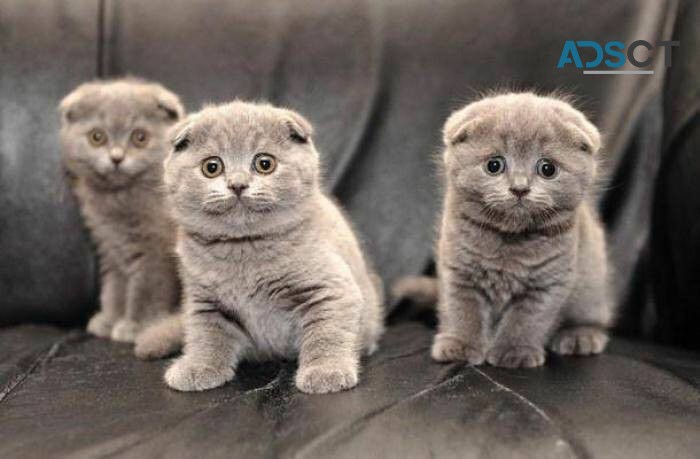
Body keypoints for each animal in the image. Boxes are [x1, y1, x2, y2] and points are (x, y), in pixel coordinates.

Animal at [59, 79, 185, 344]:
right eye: (97, 137)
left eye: (140, 137)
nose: (116, 158)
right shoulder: (110, 247)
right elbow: (114, 287)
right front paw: (110, 320)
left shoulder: (155, 249)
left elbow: (145, 288)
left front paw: (134, 326)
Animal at [142, 100, 382, 396]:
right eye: (212, 167)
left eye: (264, 164)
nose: (237, 184)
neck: (244, 249)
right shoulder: (203, 299)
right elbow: (205, 334)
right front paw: (198, 367)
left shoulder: (331, 288)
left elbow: (327, 332)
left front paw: (325, 371)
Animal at [396, 93, 608, 370]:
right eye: (494, 165)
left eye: (547, 168)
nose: (519, 188)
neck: (509, 240)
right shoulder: (459, 271)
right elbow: (462, 311)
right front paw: (461, 346)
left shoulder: (548, 282)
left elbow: (526, 321)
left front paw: (514, 352)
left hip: (592, 278)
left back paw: (580, 336)